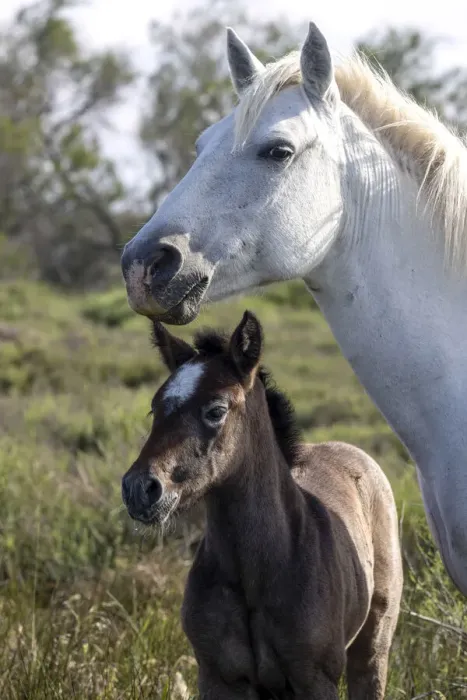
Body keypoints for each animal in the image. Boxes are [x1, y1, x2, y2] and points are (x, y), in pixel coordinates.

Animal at [121, 311, 403, 699]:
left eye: (216, 410)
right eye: (155, 408)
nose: (139, 489)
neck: (259, 572)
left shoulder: (316, 680)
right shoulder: (218, 678)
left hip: (373, 647)